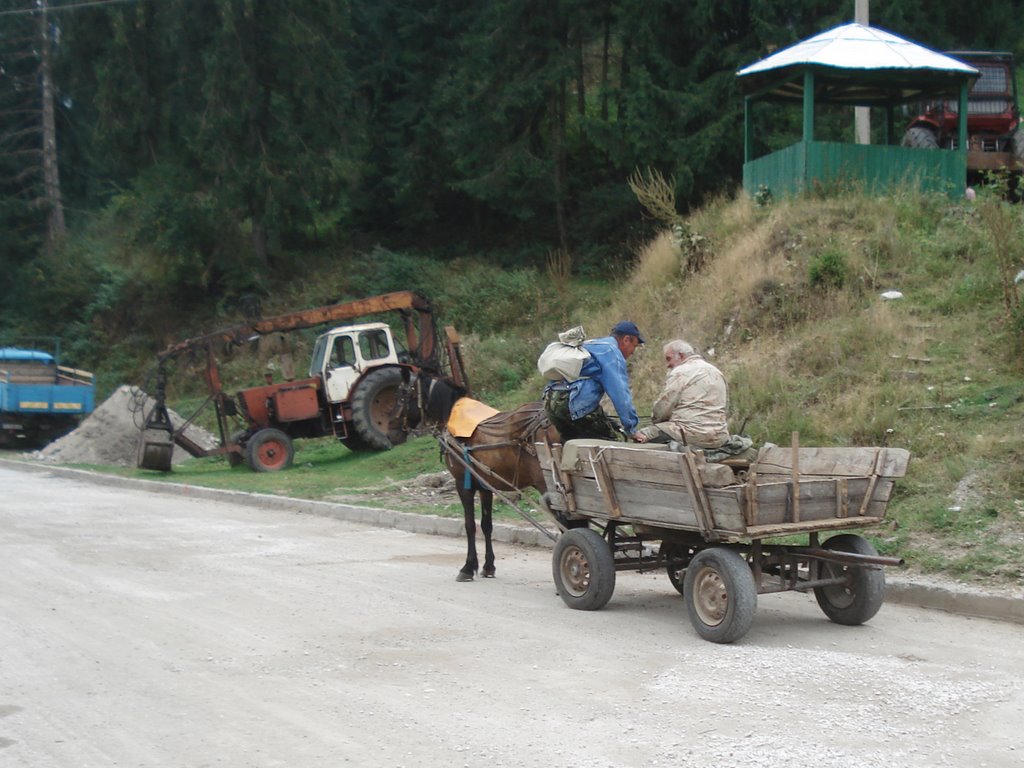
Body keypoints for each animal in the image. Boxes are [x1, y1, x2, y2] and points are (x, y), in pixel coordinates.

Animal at [417, 374, 561, 581]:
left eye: (403, 389)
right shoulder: (485, 487)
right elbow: (486, 525)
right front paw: (488, 566)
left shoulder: (463, 485)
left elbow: (470, 525)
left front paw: (468, 567)